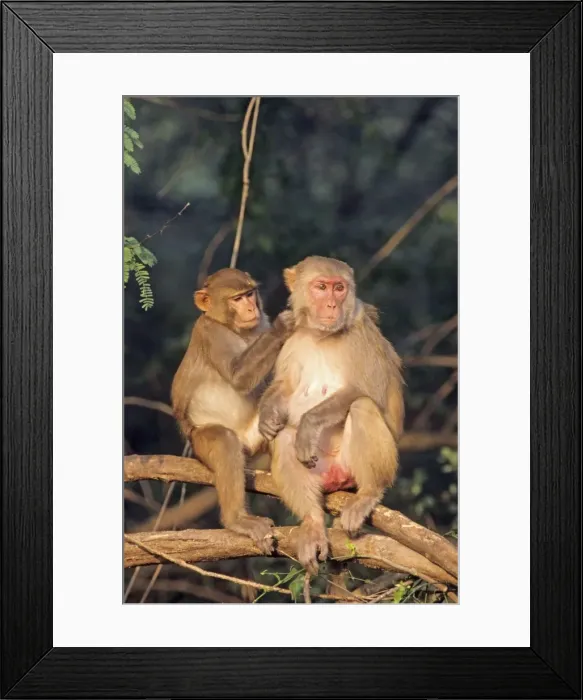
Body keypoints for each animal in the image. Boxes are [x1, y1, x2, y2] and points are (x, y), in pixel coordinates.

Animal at [171, 267, 293, 554]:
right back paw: (237, 520)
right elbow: (238, 376)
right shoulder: (210, 332)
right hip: (200, 441)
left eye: (250, 293)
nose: (251, 308)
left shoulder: (261, 324)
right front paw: (284, 326)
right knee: (225, 442)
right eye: (237, 299)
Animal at [258, 256, 404, 573]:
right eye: (321, 287)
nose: (331, 305)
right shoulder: (292, 339)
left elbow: (366, 391)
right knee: (284, 438)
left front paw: (308, 426)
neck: (321, 336)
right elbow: (286, 388)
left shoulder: (361, 337)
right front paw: (266, 414)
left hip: (351, 467)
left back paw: (368, 493)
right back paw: (312, 523)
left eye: (339, 288)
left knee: (362, 407)